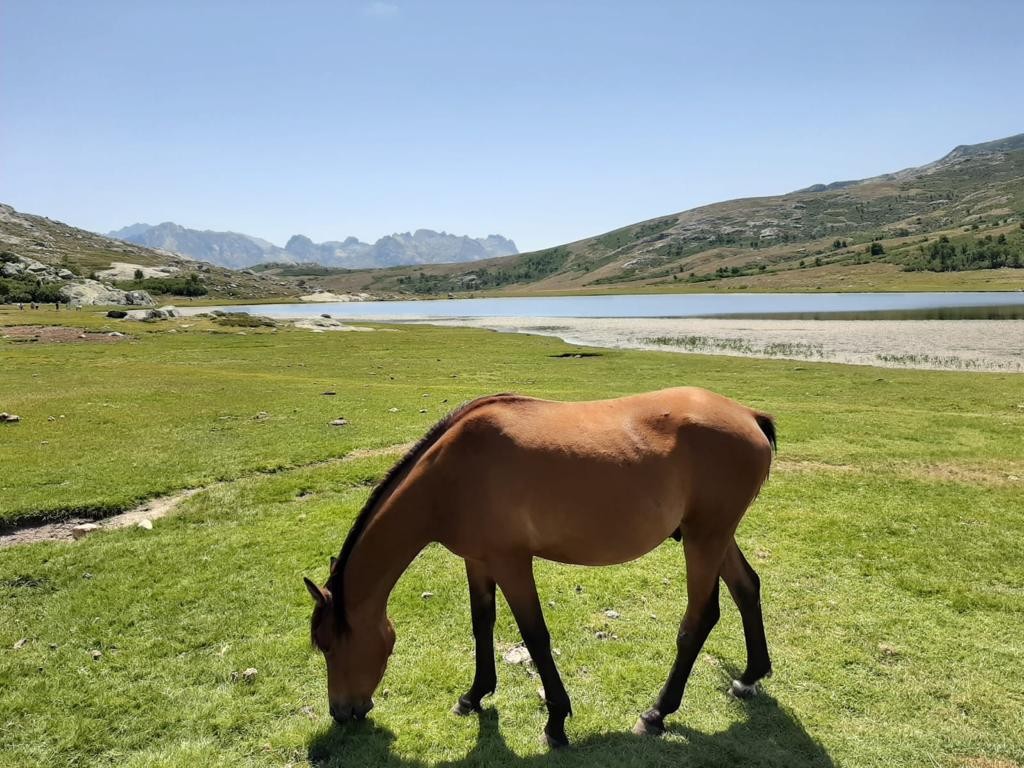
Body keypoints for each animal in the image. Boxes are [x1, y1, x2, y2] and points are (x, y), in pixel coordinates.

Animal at [303, 387, 774, 749]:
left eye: (328, 645)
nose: (341, 712)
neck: (449, 476)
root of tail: (749, 416)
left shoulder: (512, 563)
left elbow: (535, 637)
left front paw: (556, 722)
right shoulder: (478, 560)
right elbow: (482, 623)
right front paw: (474, 695)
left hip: (704, 539)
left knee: (699, 619)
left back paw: (657, 713)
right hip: (713, 537)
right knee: (747, 588)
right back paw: (749, 677)